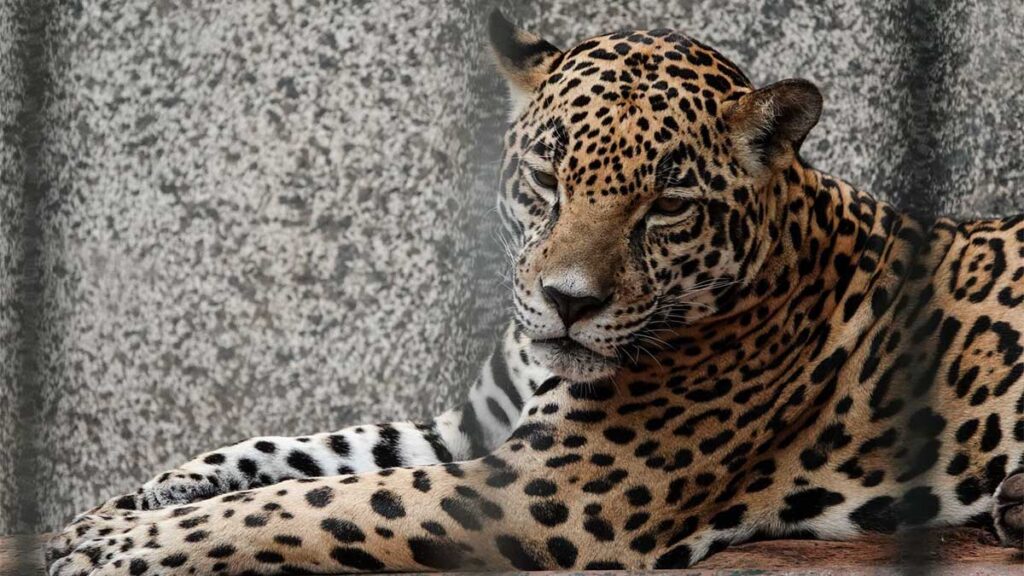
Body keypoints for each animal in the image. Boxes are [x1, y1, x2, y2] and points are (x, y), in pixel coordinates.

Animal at [45, 10, 1024, 575]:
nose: (568, 302)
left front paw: (115, 545)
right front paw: (121, 504)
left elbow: (312, 503)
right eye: (547, 180)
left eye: (668, 206)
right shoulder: (468, 429)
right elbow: (296, 451)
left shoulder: (550, 485)